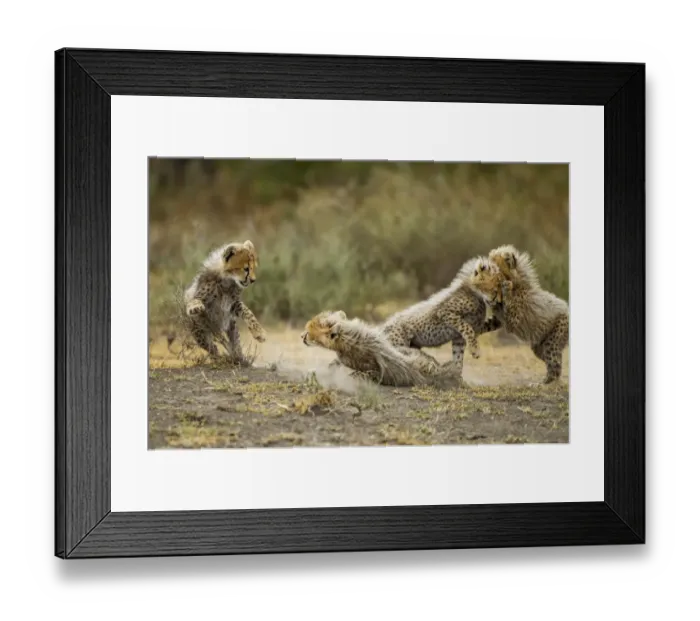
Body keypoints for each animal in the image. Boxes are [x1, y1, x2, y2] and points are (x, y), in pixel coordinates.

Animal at [470, 247, 569, 385]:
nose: (482, 267)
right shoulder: (500, 319)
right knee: (553, 362)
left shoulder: (512, 320)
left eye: (492, 268)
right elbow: (489, 323)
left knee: (555, 364)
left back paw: (545, 383)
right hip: (539, 347)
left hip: (552, 341)